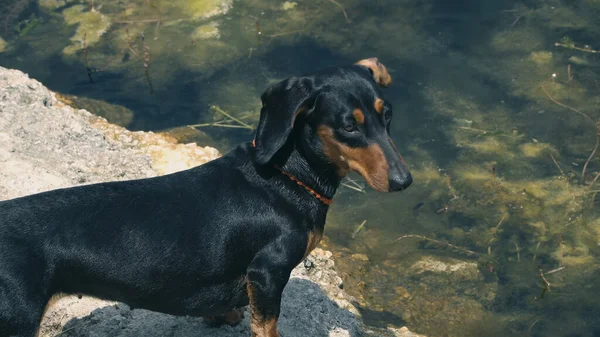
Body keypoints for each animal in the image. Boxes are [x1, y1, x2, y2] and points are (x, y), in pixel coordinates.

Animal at [0, 58, 412, 336]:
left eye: (388, 114)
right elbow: (267, 325)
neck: (286, 177)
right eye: (349, 126)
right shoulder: (268, 273)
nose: (404, 181)